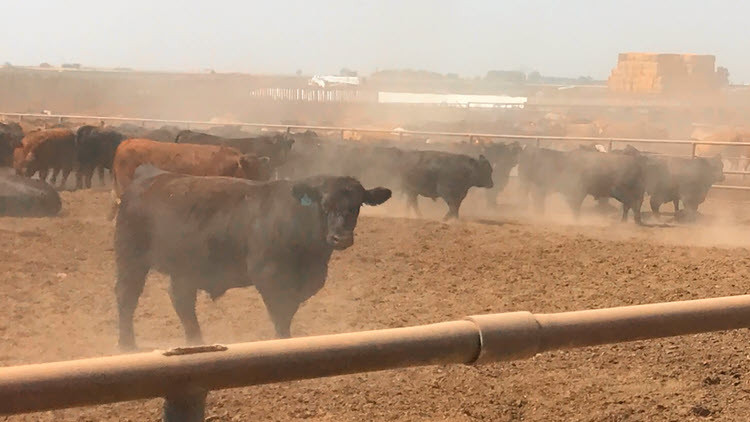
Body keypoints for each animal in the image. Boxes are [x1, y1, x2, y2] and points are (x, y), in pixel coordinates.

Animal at [114, 165, 391, 350]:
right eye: (324, 204)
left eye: (357, 206)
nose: (340, 238)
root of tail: (148, 176)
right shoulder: (269, 276)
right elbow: (281, 315)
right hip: (131, 259)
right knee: (126, 298)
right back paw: (127, 345)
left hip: (186, 269)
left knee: (181, 302)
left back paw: (196, 343)